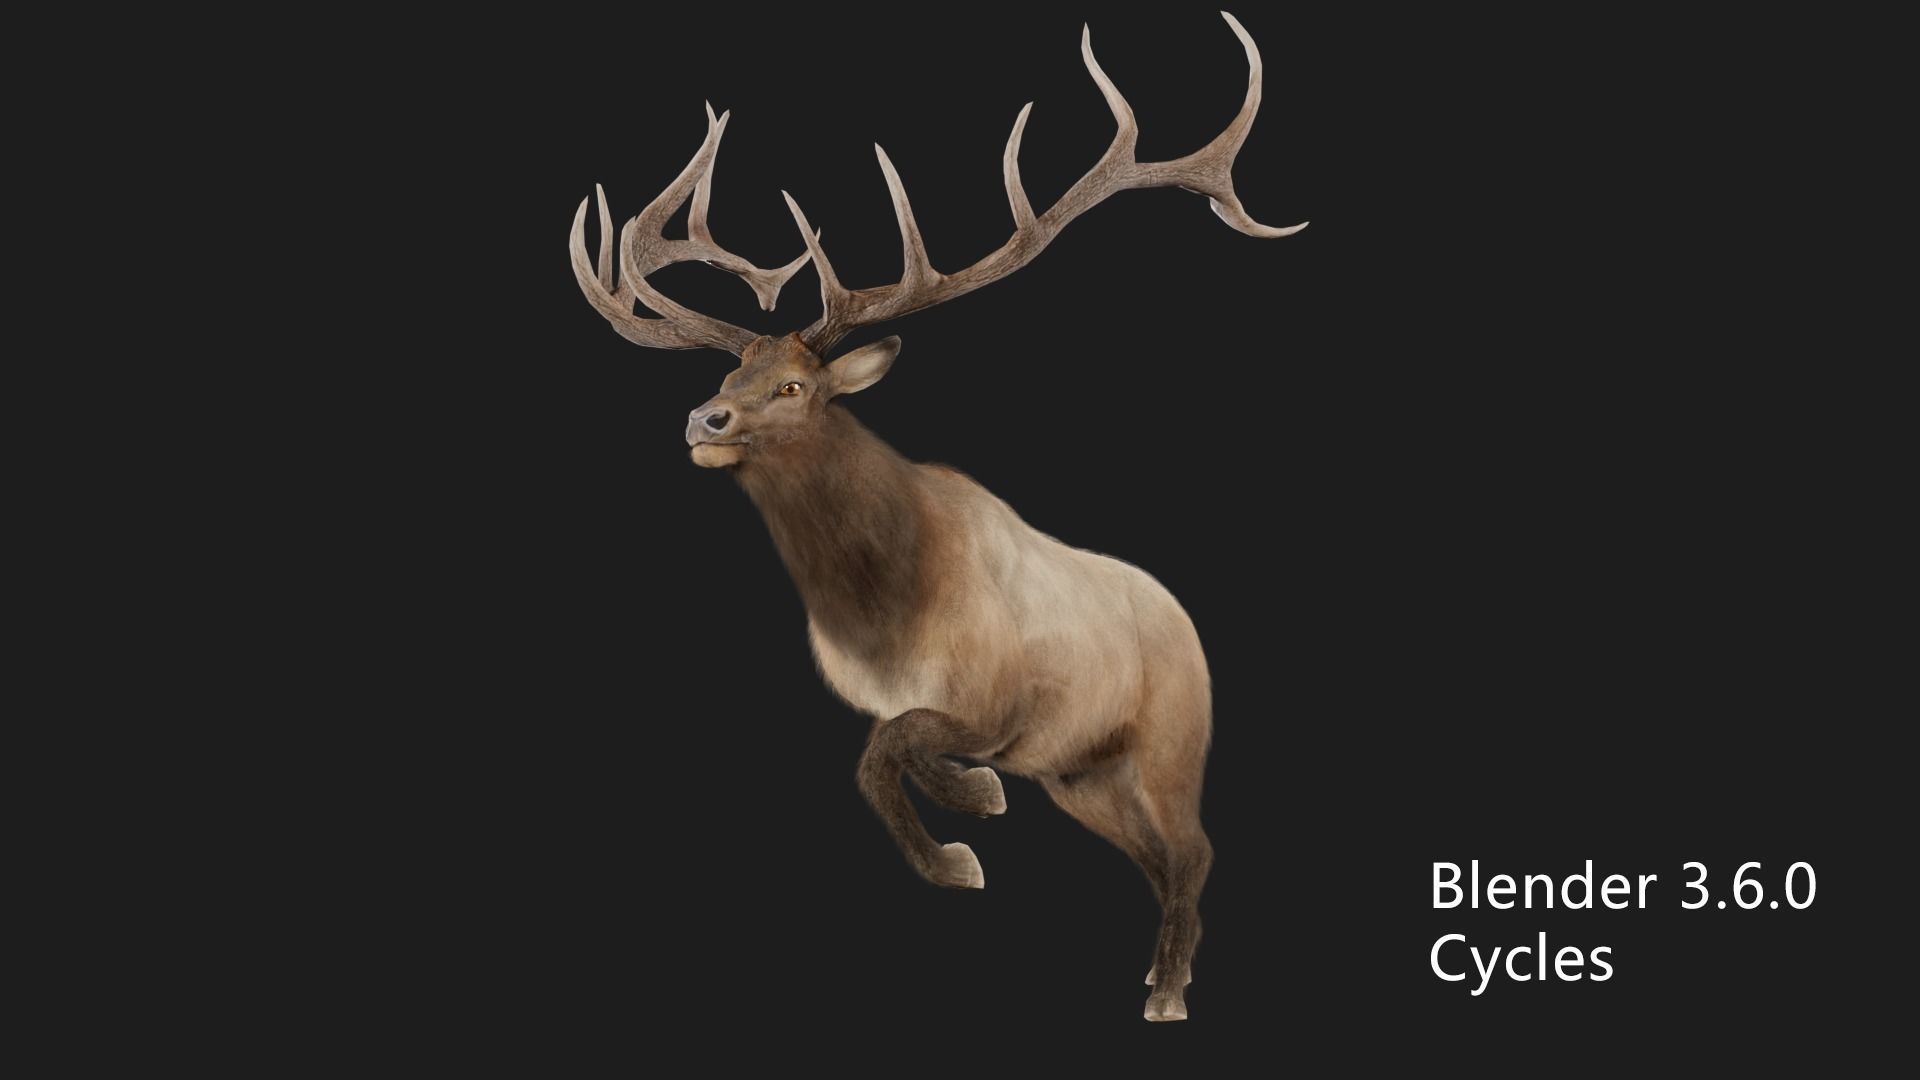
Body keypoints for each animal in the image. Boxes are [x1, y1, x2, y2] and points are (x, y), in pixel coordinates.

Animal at [567, 12, 1305, 1021]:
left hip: (1168, 739)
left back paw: (1167, 991)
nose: (701, 420)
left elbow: (885, 749)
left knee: (1193, 849)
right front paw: (972, 807)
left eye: (794, 386)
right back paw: (1156, 966)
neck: (880, 611)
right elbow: (885, 753)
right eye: (730, 374)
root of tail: (1189, 622)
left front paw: (963, 834)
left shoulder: (997, 699)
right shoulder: (952, 716)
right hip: (1082, 775)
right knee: (1156, 857)